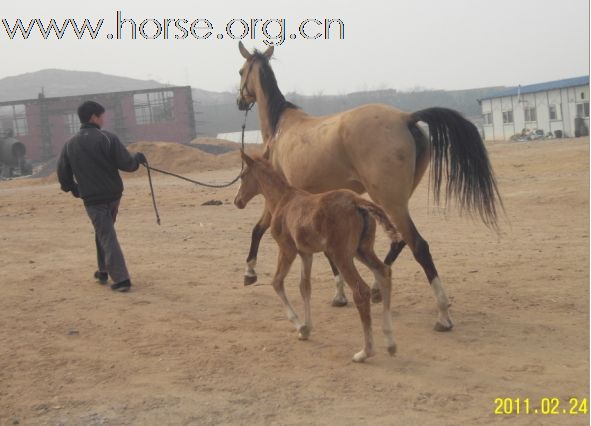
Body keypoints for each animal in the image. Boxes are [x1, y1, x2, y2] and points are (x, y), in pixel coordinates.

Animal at [236, 41, 504, 332]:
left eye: (240, 71)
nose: (240, 102)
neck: (281, 130)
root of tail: (405, 118)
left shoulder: (279, 200)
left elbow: (257, 229)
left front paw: (249, 272)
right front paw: (340, 293)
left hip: (389, 200)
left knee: (418, 245)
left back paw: (442, 314)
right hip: (393, 202)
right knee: (399, 240)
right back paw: (377, 289)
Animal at [236, 151, 402, 362]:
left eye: (242, 176)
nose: (237, 201)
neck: (282, 199)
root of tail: (357, 202)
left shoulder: (287, 249)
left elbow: (277, 282)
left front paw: (300, 326)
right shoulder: (306, 254)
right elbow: (304, 287)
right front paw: (306, 329)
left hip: (341, 254)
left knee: (361, 290)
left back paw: (365, 351)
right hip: (362, 250)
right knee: (384, 273)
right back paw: (390, 343)